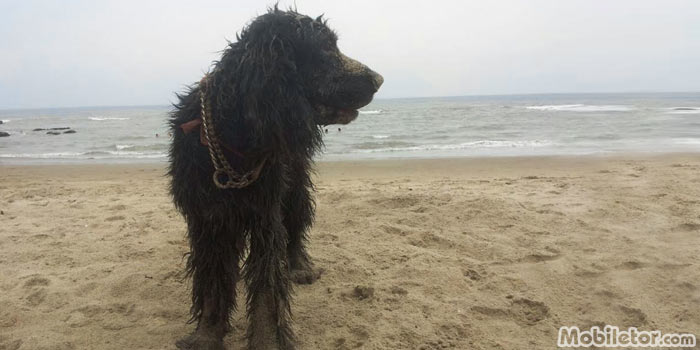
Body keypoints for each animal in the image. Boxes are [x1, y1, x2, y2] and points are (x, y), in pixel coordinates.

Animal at [168, 8, 382, 350]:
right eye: (325, 48)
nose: (378, 80)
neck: (237, 139)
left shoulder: (265, 213)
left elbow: (267, 284)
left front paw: (267, 339)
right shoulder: (208, 217)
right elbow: (213, 280)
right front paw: (206, 335)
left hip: (294, 184)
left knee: (294, 223)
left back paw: (300, 266)